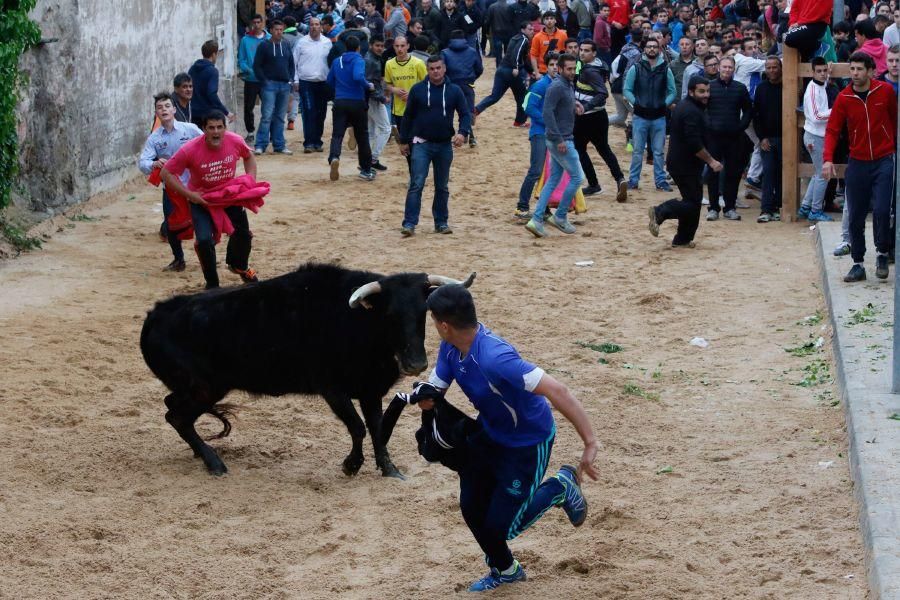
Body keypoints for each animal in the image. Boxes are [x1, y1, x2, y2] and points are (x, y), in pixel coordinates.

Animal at [141, 262, 474, 478]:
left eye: (424, 312)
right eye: (389, 314)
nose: (415, 364)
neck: (357, 323)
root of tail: (153, 317)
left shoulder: (370, 390)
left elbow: (378, 428)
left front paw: (389, 469)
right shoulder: (332, 390)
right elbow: (357, 427)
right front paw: (351, 465)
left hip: (196, 390)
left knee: (174, 409)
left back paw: (201, 454)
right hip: (205, 388)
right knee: (177, 416)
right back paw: (214, 463)